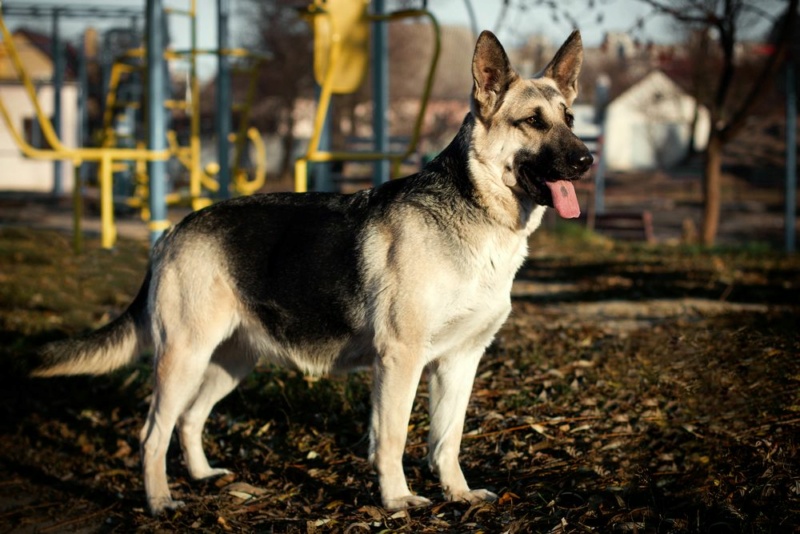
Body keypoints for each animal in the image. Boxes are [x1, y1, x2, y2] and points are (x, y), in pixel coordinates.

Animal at [31, 29, 592, 516]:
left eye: (569, 117)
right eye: (533, 121)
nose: (587, 159)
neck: (478, 214)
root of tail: (172, 230)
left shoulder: (459, 361)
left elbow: (447, 440)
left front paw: (457, 493)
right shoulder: (400, 360)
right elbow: (391, 438)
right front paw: (396, 500)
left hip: (231, 362)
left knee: (189, 420)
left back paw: (203, 475)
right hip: (184, 357)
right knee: (152, 435)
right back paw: (159, 501)